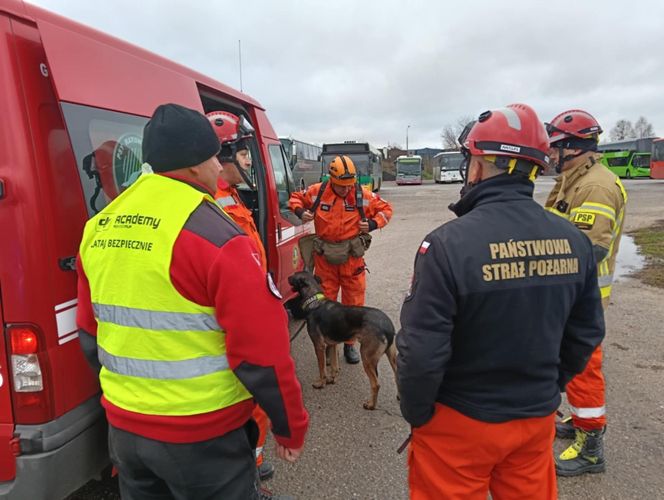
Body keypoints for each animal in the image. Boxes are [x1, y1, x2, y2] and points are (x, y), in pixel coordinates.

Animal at [288, 270, 396, 410]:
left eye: (294, 275)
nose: (287, 277)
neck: (314, 301)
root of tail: (388, 327)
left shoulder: (319, 346)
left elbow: (322, 369)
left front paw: (321, 383)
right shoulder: (333, 344)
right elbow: (334, 365)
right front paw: (331, 379)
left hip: (366, 357)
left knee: (375, 384)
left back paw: (371, 405)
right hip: (392, 356)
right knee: (397, 375)